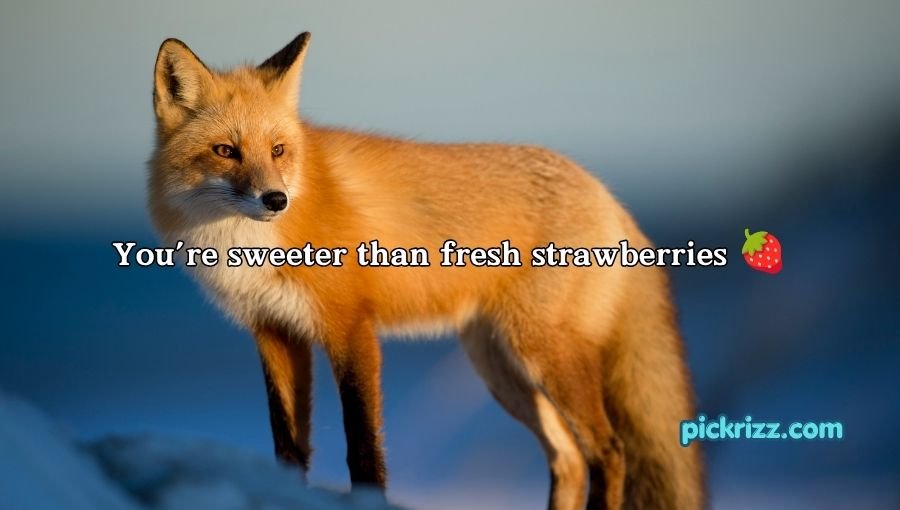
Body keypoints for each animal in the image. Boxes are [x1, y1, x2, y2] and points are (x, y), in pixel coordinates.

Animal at [148, 32, 704, 510]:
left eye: (278, 150)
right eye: (226, 151)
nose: (276, 200)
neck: (248, 247)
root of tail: (607, 193)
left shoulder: (351, 327)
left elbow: (363, 446)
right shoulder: (274, 332)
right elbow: (288, 446)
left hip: (544, 354)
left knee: (608, 451)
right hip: (500, 368)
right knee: (567, 457)